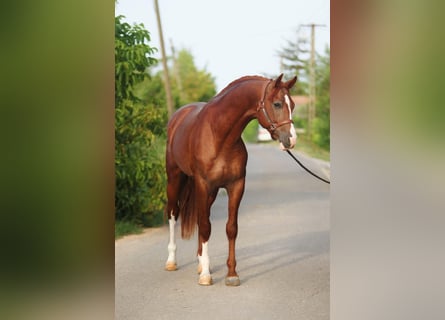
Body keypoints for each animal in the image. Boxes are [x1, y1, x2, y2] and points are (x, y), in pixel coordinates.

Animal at [163, 74, 294, 284]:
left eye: (294, 105)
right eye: (277, 104)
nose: (291, 139)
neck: (219, 136)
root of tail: (177, 117)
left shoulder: (236, 185)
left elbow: (231, 228)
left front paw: (231, 274)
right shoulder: (203, 184)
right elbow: (206, 227)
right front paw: (206, 276)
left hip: (212, 192)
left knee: (201, 217)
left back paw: (200, 263)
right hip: (175, 179)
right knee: (173, 213)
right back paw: (172, 261)